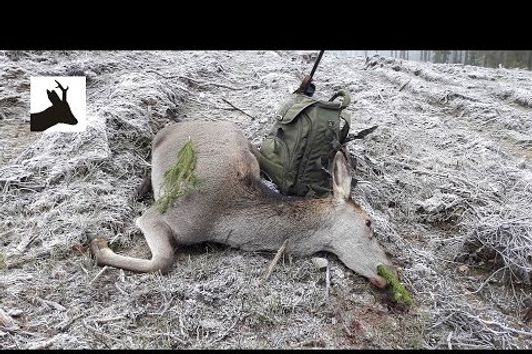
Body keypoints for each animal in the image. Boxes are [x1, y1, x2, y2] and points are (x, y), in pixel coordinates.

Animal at [89, 120, 392, 286]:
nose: (390, 270)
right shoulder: (158, 215)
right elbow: (163, 260)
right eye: (369, 223)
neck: (221, 220)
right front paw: (98, 245)